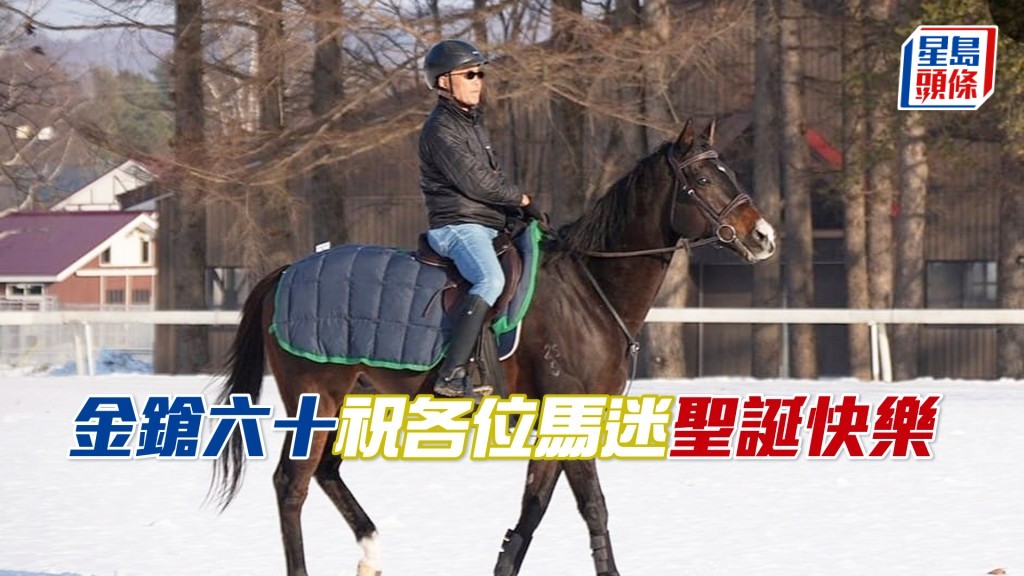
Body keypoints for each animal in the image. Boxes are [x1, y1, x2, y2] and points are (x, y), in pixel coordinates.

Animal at [211, 118, 777, 576]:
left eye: (729, 172)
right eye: (702, 180)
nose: (764, 237)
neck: (588, 287)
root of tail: (285, 272)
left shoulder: (559, 422)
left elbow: (534, 508)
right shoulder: (568, 410)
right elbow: (592, 506)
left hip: (349, 401)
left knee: (326, 474)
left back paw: (371, 552)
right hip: (317, 398)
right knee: (292, 484)